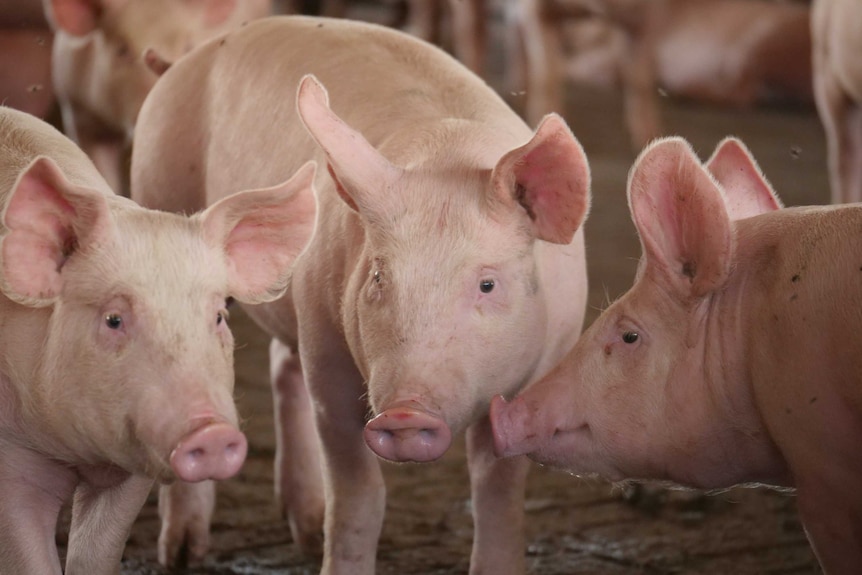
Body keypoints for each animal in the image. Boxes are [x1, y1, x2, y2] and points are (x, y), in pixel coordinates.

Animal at [0, 106, 318, 572]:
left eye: (219, 316)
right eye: (114, 319)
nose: (210, 432)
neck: (78, 452)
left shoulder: (132, 467)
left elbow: (95, 556)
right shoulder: (14, 460)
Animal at [130, 15, 592, 572]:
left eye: (487, 283)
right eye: (377, 277)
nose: (405, 413)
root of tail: (177, 65)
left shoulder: (538, 372)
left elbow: (496, 492)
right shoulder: (327, 354)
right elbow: (359, 494)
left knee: (282, 366)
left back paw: (307, 534)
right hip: (162, 192)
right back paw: (182, 555)